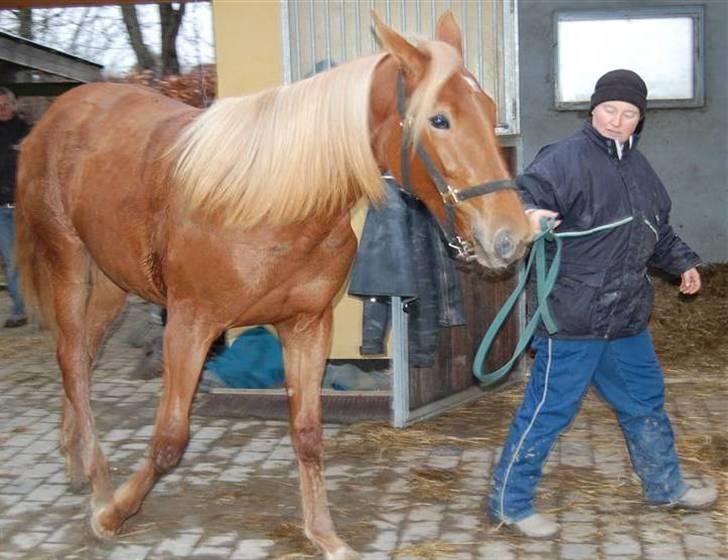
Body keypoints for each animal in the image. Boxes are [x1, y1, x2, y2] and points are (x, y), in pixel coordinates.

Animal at [15, 10, 528, 556]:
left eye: (489, 108)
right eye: (439, 119)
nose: (511, 235)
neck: (267, 199)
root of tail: (60, 111)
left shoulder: (306, 326)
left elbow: (307, 432)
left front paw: (324, 534)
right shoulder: (190, 324)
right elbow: (170, 438)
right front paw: (112, 515)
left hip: (112, 279)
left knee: (83, 360)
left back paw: (75, 463)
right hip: (67, 262)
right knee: (71, 360)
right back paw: (98, 481)